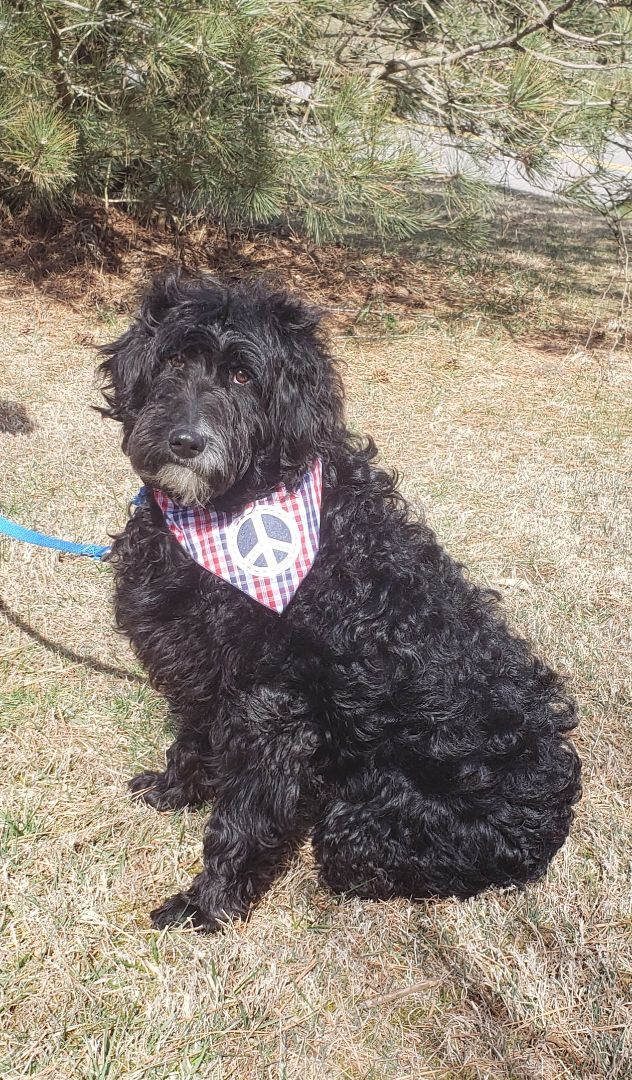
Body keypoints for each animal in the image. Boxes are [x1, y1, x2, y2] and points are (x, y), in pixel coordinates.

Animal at [99, 274, 583, 933]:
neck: (232, 505)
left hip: (361, 826)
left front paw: (206, 905)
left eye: (243, 376)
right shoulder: (200, 670)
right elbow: (193, 741)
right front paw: (174, 790)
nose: (186, 442)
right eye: (174, 360)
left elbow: (241, 818)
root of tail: (554, 811)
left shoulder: (272, 710)